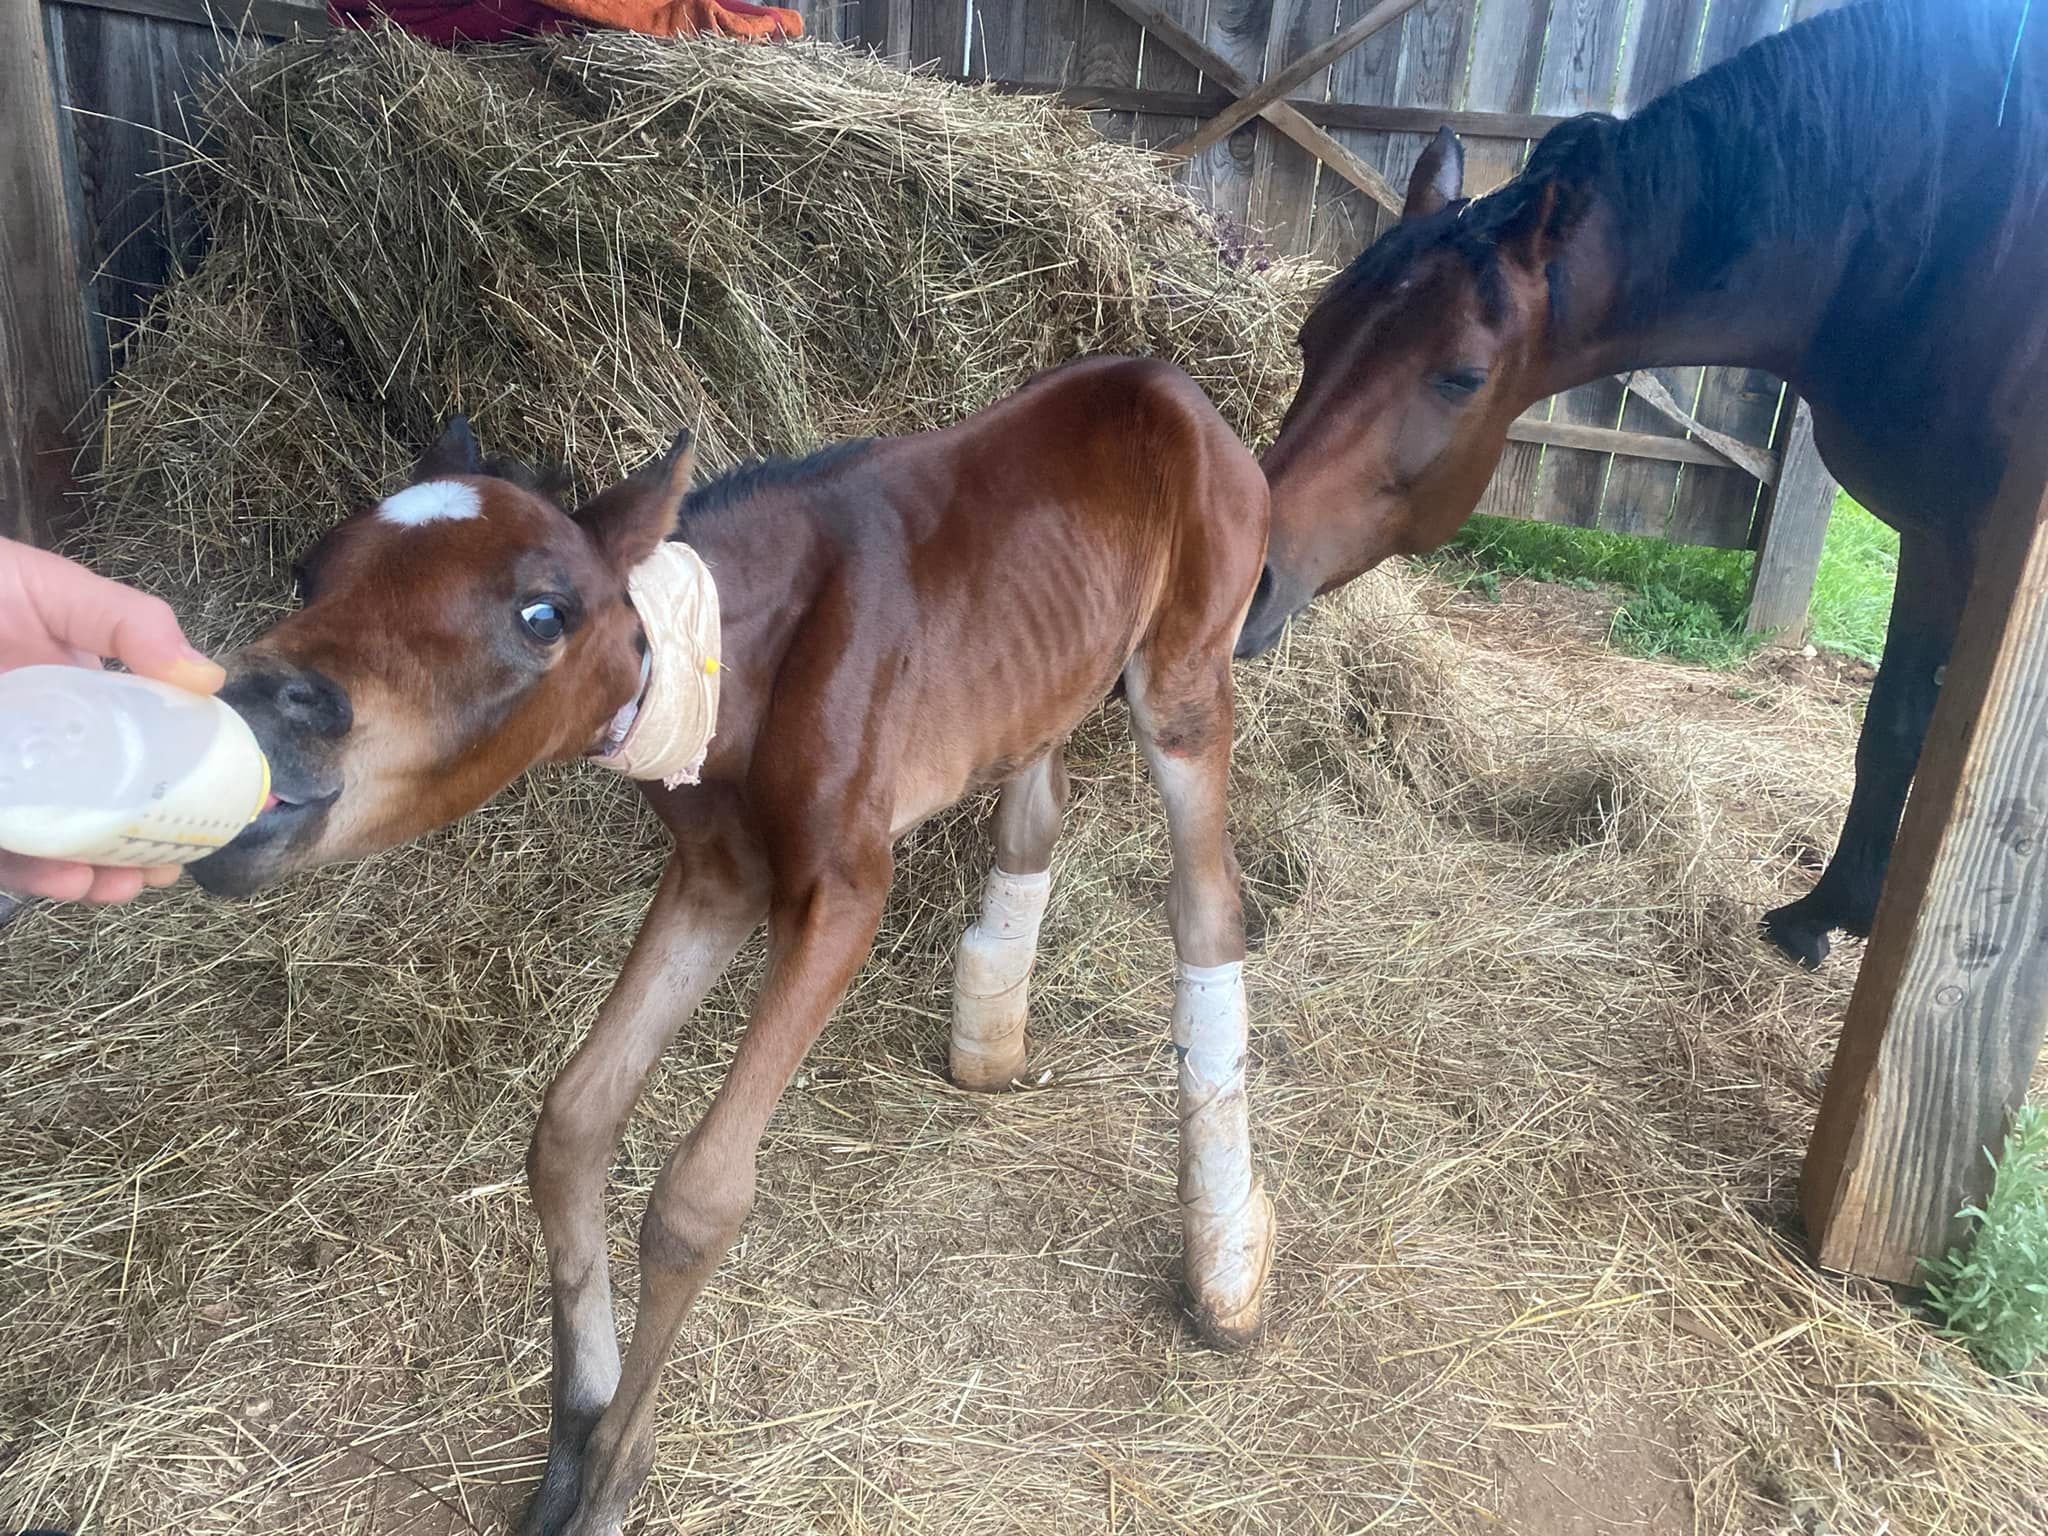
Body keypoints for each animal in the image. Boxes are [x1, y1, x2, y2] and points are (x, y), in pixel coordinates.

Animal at [195, 352, 1277, 1536]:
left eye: (543, 612)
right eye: (310, 572)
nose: (256, 720)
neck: (742, 662)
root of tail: (1170, 386)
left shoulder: (842, 891)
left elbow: (697, 1201)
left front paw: (611, 1486)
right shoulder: (715, 874)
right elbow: (573, 1121)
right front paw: (574, 1453)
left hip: (1182, 680)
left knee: (1207, 902)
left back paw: (1224, 1267)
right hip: (1052, 670)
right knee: (1039, 797)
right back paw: (990, 1043)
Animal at [1236, 0, 2048, 974]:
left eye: (1463, 376)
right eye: (1311, 334)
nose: (1235, 576)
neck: (1944, 239)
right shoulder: (1934, 535)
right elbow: (1893, 729)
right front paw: (1824, 913)